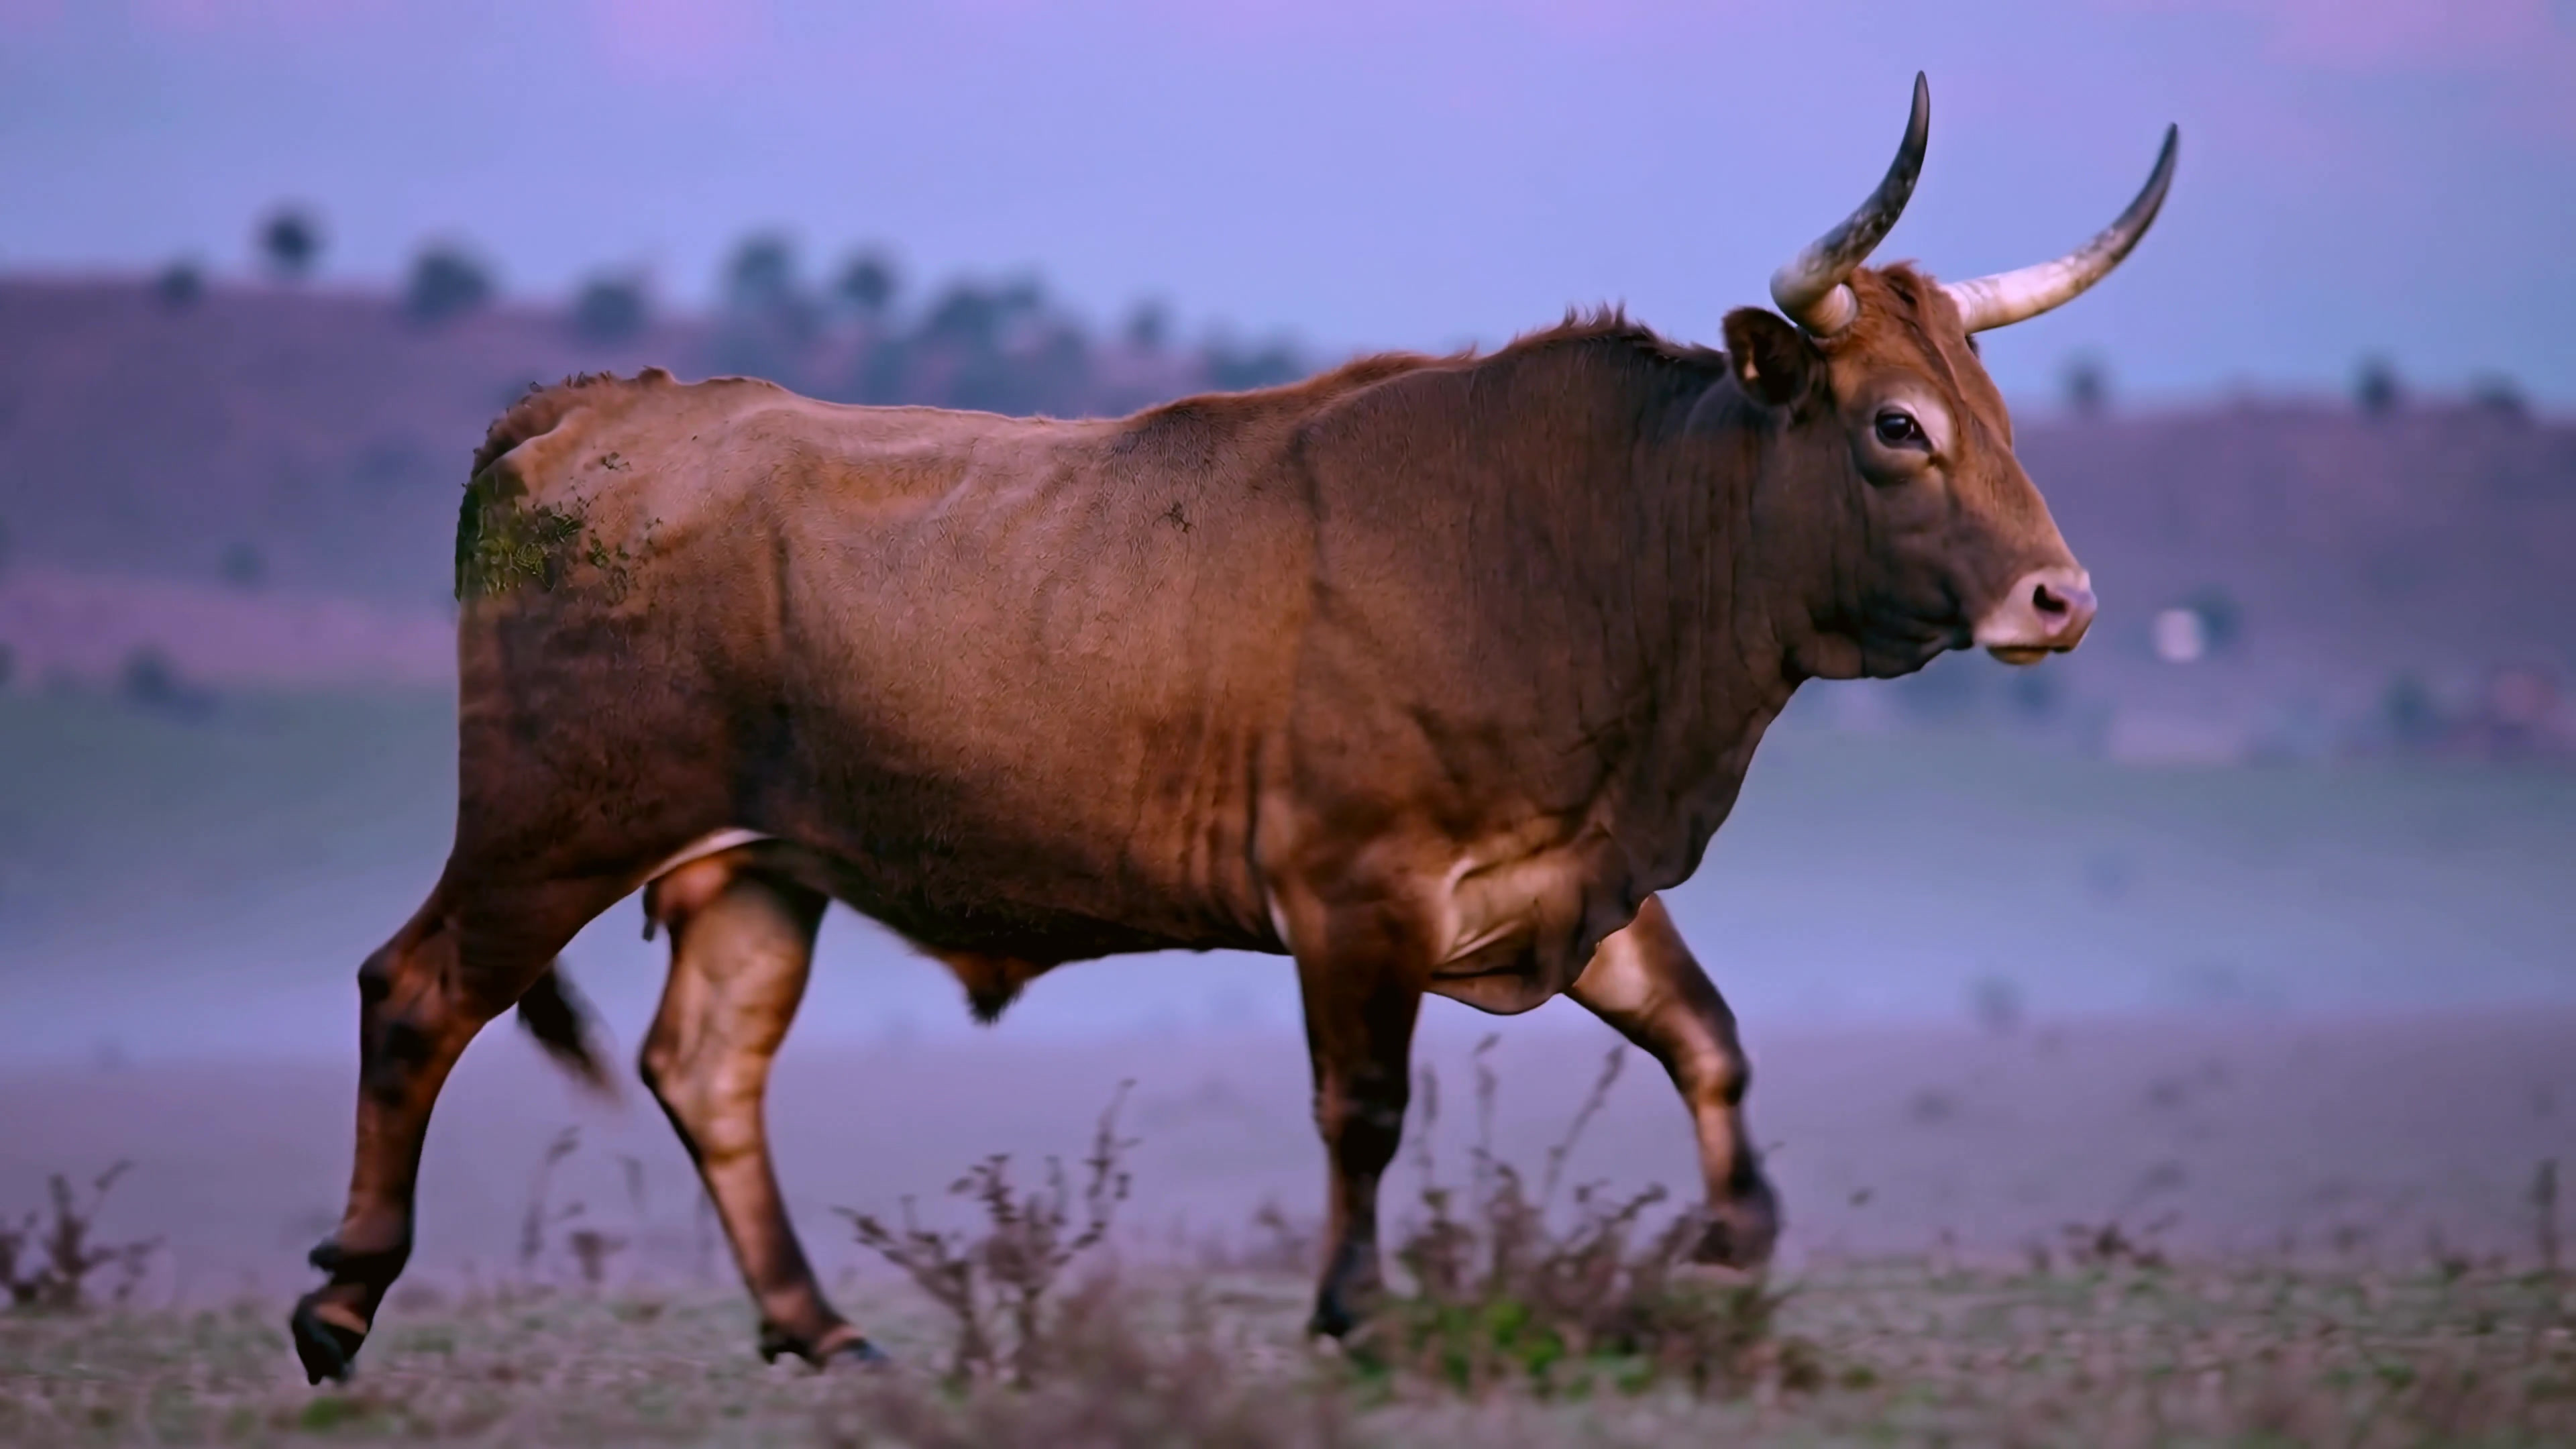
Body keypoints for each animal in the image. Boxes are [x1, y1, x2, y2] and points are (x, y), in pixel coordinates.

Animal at [290, 73, 2176, 1383]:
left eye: (1998, 411)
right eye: (1895, 425)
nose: (2061, 598)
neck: (1593, 540)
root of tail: (596, 410)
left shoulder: (1567, 876)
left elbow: (1707, 1040)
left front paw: (1726, 1246)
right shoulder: (1354, 891)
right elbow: (1364, 1109)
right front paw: (1352, 1309)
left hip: (761, 863)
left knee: (707, 1066)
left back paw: (820, 1328)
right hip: (555, 823)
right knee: (418, 989)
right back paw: (342, 1302)